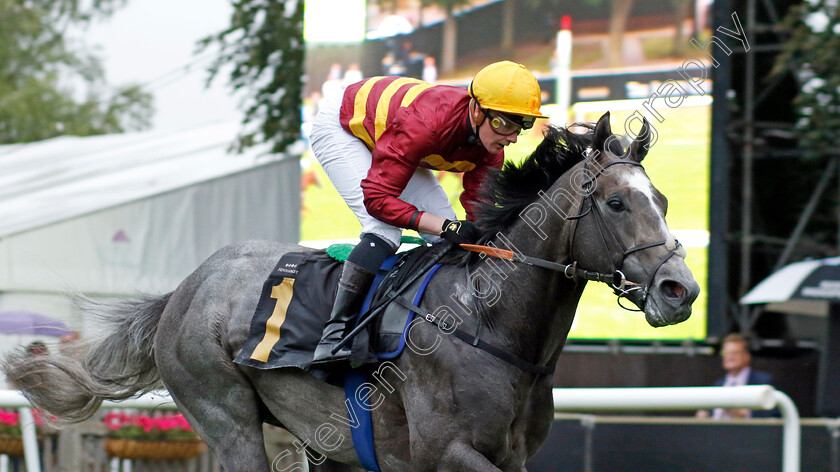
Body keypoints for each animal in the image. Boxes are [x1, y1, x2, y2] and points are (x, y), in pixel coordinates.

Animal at [4, 112, 704, 470]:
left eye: (665, 201)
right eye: (617, 203)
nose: (681, 291)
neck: (491, 324)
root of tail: (184, 288)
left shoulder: (513, 458)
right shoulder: (444, 454)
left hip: (313, 436)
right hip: (224, 415)